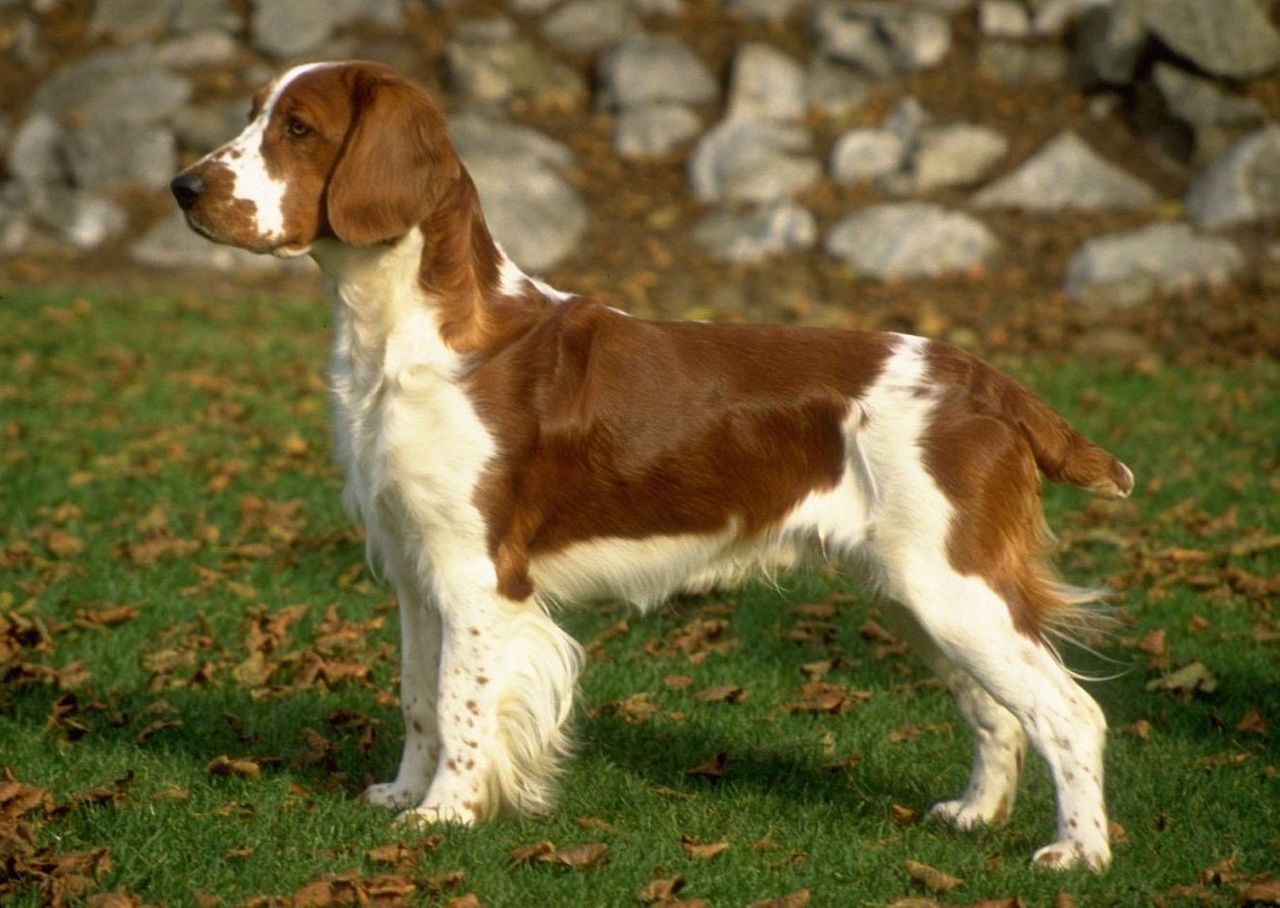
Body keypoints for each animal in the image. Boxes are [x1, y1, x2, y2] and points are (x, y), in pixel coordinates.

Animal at [170, 60, 1131, 865]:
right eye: (253, 114)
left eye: (299, 127)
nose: (181, 186)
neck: (409, 338)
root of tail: (987, 382)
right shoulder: (413, 566)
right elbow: (415, 693)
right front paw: (404, 794)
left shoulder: (478, 575)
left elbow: (458, 700)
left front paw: (445, 814)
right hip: (918, 595)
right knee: (997, 711)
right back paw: (975, 815)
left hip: (953, 585)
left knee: (1071, 712)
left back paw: (1078, 854)